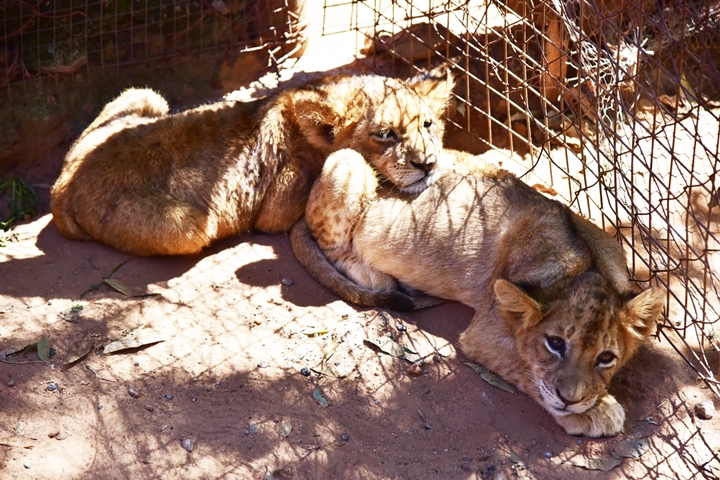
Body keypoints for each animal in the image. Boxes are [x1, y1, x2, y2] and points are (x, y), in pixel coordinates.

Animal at [50, 68, 454, 256]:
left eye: (427, 125)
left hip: (145, 94)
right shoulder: (276, 208)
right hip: (192, 225)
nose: (428, 164)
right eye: (385, 135)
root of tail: (61, 188)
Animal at [291, 148, 665, 437]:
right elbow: (527, 368)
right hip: (346, 162)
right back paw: (377, 277)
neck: (582, 267)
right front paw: (594, 412)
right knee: (333, 245)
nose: (570, 400)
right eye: (555, 343)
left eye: (606, 358)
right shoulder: (482, 333)